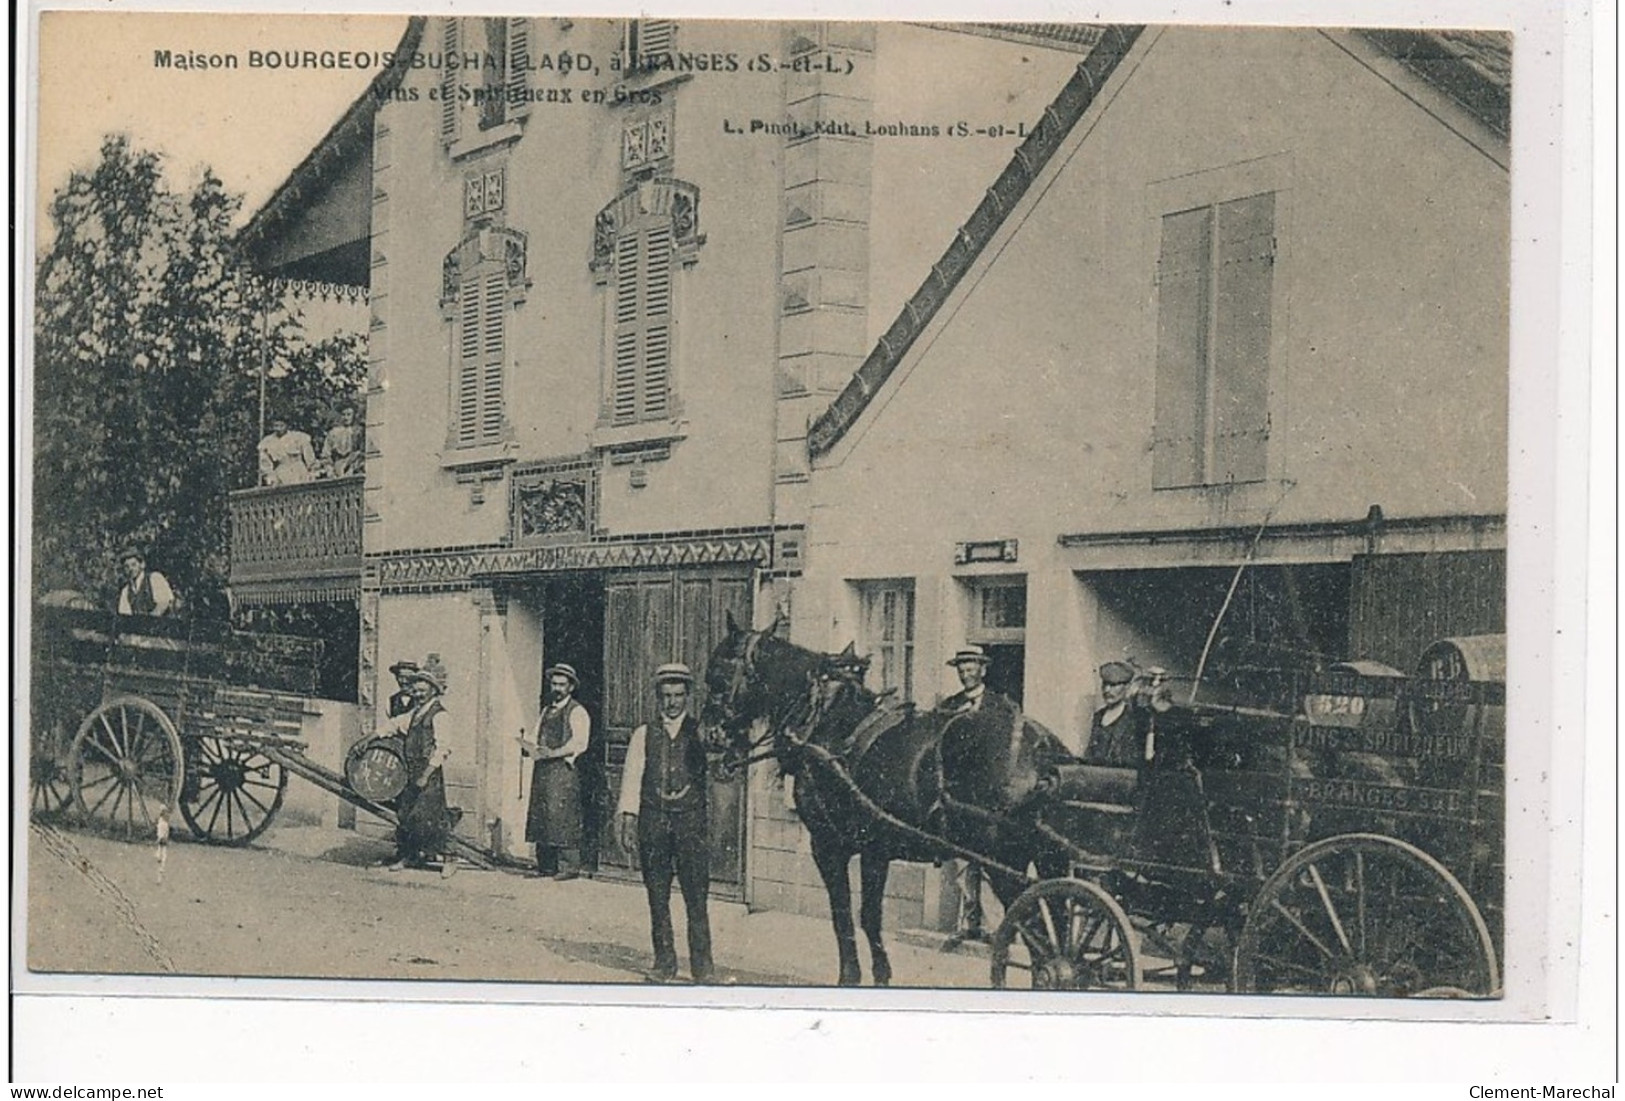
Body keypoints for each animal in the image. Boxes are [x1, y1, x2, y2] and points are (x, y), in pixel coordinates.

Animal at [702, 617, 1072, 987]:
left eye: (717, 675)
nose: (709, 737)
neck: (829, 724)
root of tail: (1043, 748)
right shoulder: (875, 850)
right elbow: (869, 916)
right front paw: (880, 975)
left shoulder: (828, 845)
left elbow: (843, 915)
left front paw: (850, 975)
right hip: (1049, 858)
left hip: (1006, 864)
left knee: (1037, 933)